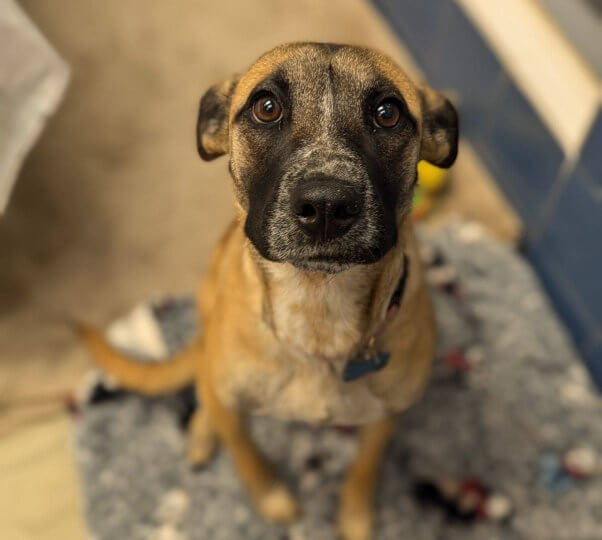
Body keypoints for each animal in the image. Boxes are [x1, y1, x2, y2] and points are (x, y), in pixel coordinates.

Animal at [78, 43, 454, 540]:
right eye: (267, 107)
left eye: (388, 113)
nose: (327, 205)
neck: (317, 309)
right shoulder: (234, 406)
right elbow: (246, 455)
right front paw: (272, 498)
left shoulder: (386, 417)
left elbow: (364, 468)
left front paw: (354, 517)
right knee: (204, 379)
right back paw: (202, 428)